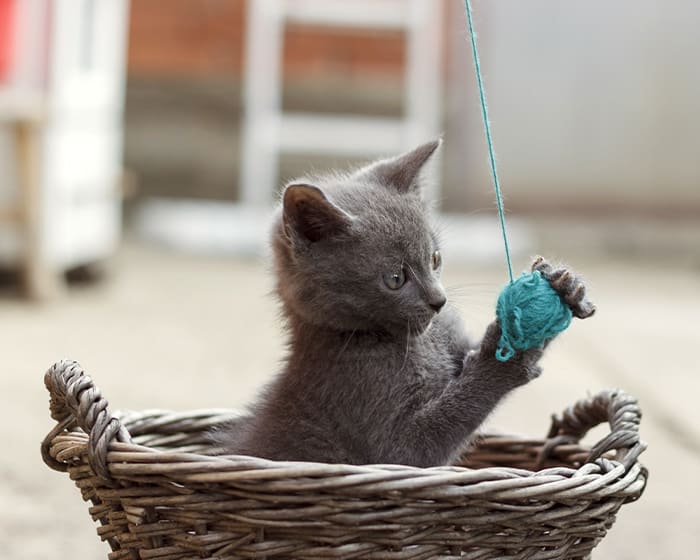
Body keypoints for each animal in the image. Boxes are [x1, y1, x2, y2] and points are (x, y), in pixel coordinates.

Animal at [216, 141, 592, 468]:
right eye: (395, 278)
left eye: (435, 258)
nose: (439, 301)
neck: (413, 341)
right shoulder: (382, 433)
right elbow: (422, 442)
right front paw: (509, 356)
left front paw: (562, 284)